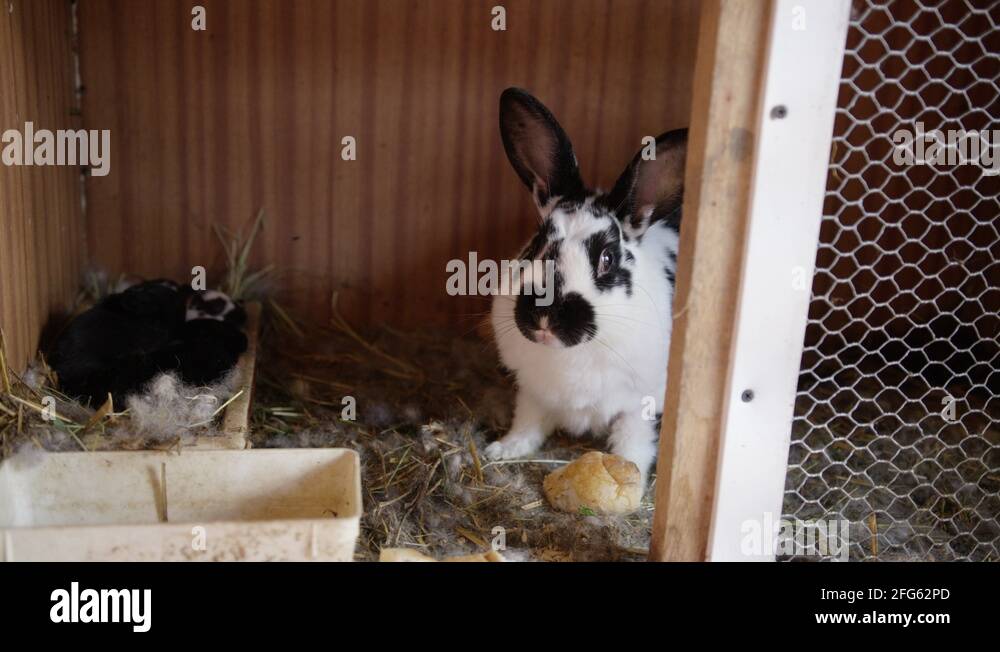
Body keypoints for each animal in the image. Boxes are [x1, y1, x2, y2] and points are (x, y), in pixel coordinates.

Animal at [484, 87, 687, 488]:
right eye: (537, 245)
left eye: (607, 258)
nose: (546, 315)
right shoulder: (534, 392)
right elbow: (527, 422)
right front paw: (503, 450)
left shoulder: (639, 405)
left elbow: (632, 442)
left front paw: (630, 477)